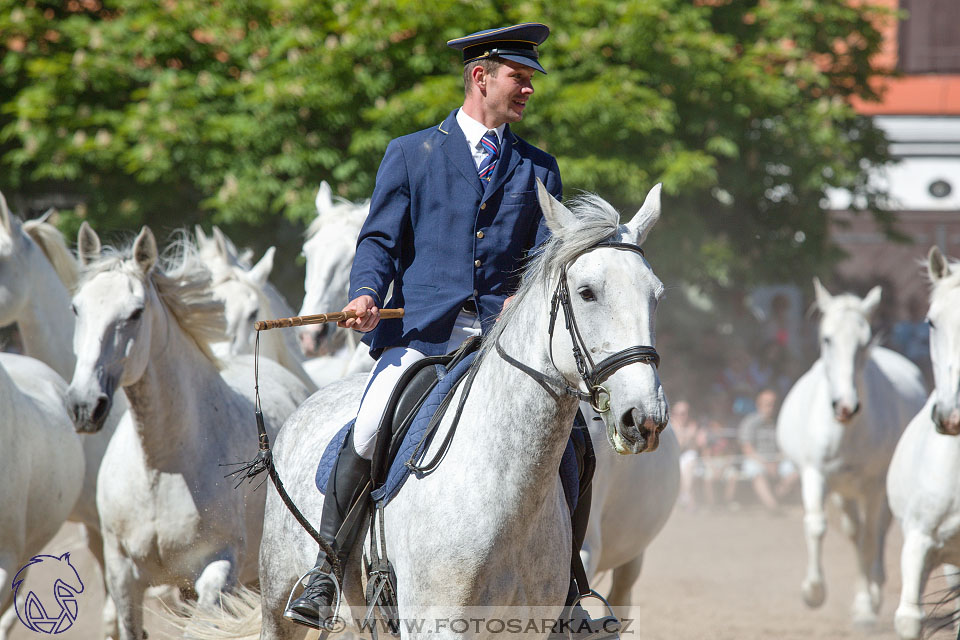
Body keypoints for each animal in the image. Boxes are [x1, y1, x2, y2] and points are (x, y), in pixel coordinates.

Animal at [776, 278, 928, 624]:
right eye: (826, 338)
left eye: (864, 340)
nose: (845, 406)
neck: (846, 431)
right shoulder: (815, 473)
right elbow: (817, 525)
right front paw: (813, 592)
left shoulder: (874, 485)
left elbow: (870, 540)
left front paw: (865, 608)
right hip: (843, 490)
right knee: (854, 531)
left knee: (877, 533)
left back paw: (873, 591)